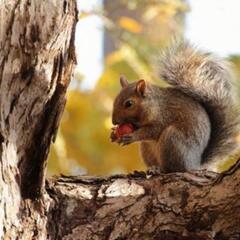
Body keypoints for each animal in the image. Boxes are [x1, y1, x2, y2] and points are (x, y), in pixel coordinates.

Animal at [111, 41, 239, 172]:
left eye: (129, 104)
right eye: (115, 99)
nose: (114, 121)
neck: (154, 104)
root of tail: (194, 165)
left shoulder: (162, 117)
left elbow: (152, 130)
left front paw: (132, 136)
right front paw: (113, 134)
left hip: (172, 140)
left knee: (173, 168)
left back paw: (161, 169)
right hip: (146, 148)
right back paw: (153, 168)